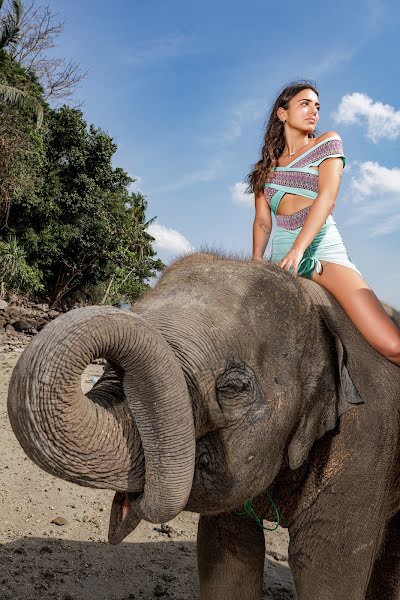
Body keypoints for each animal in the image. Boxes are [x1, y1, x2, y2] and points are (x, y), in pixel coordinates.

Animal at [7, 253, 400, 600]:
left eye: (233, 388)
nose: (127, 508)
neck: (313, 299)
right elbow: (226, 553)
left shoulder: (365, 445)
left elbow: (324, 569)